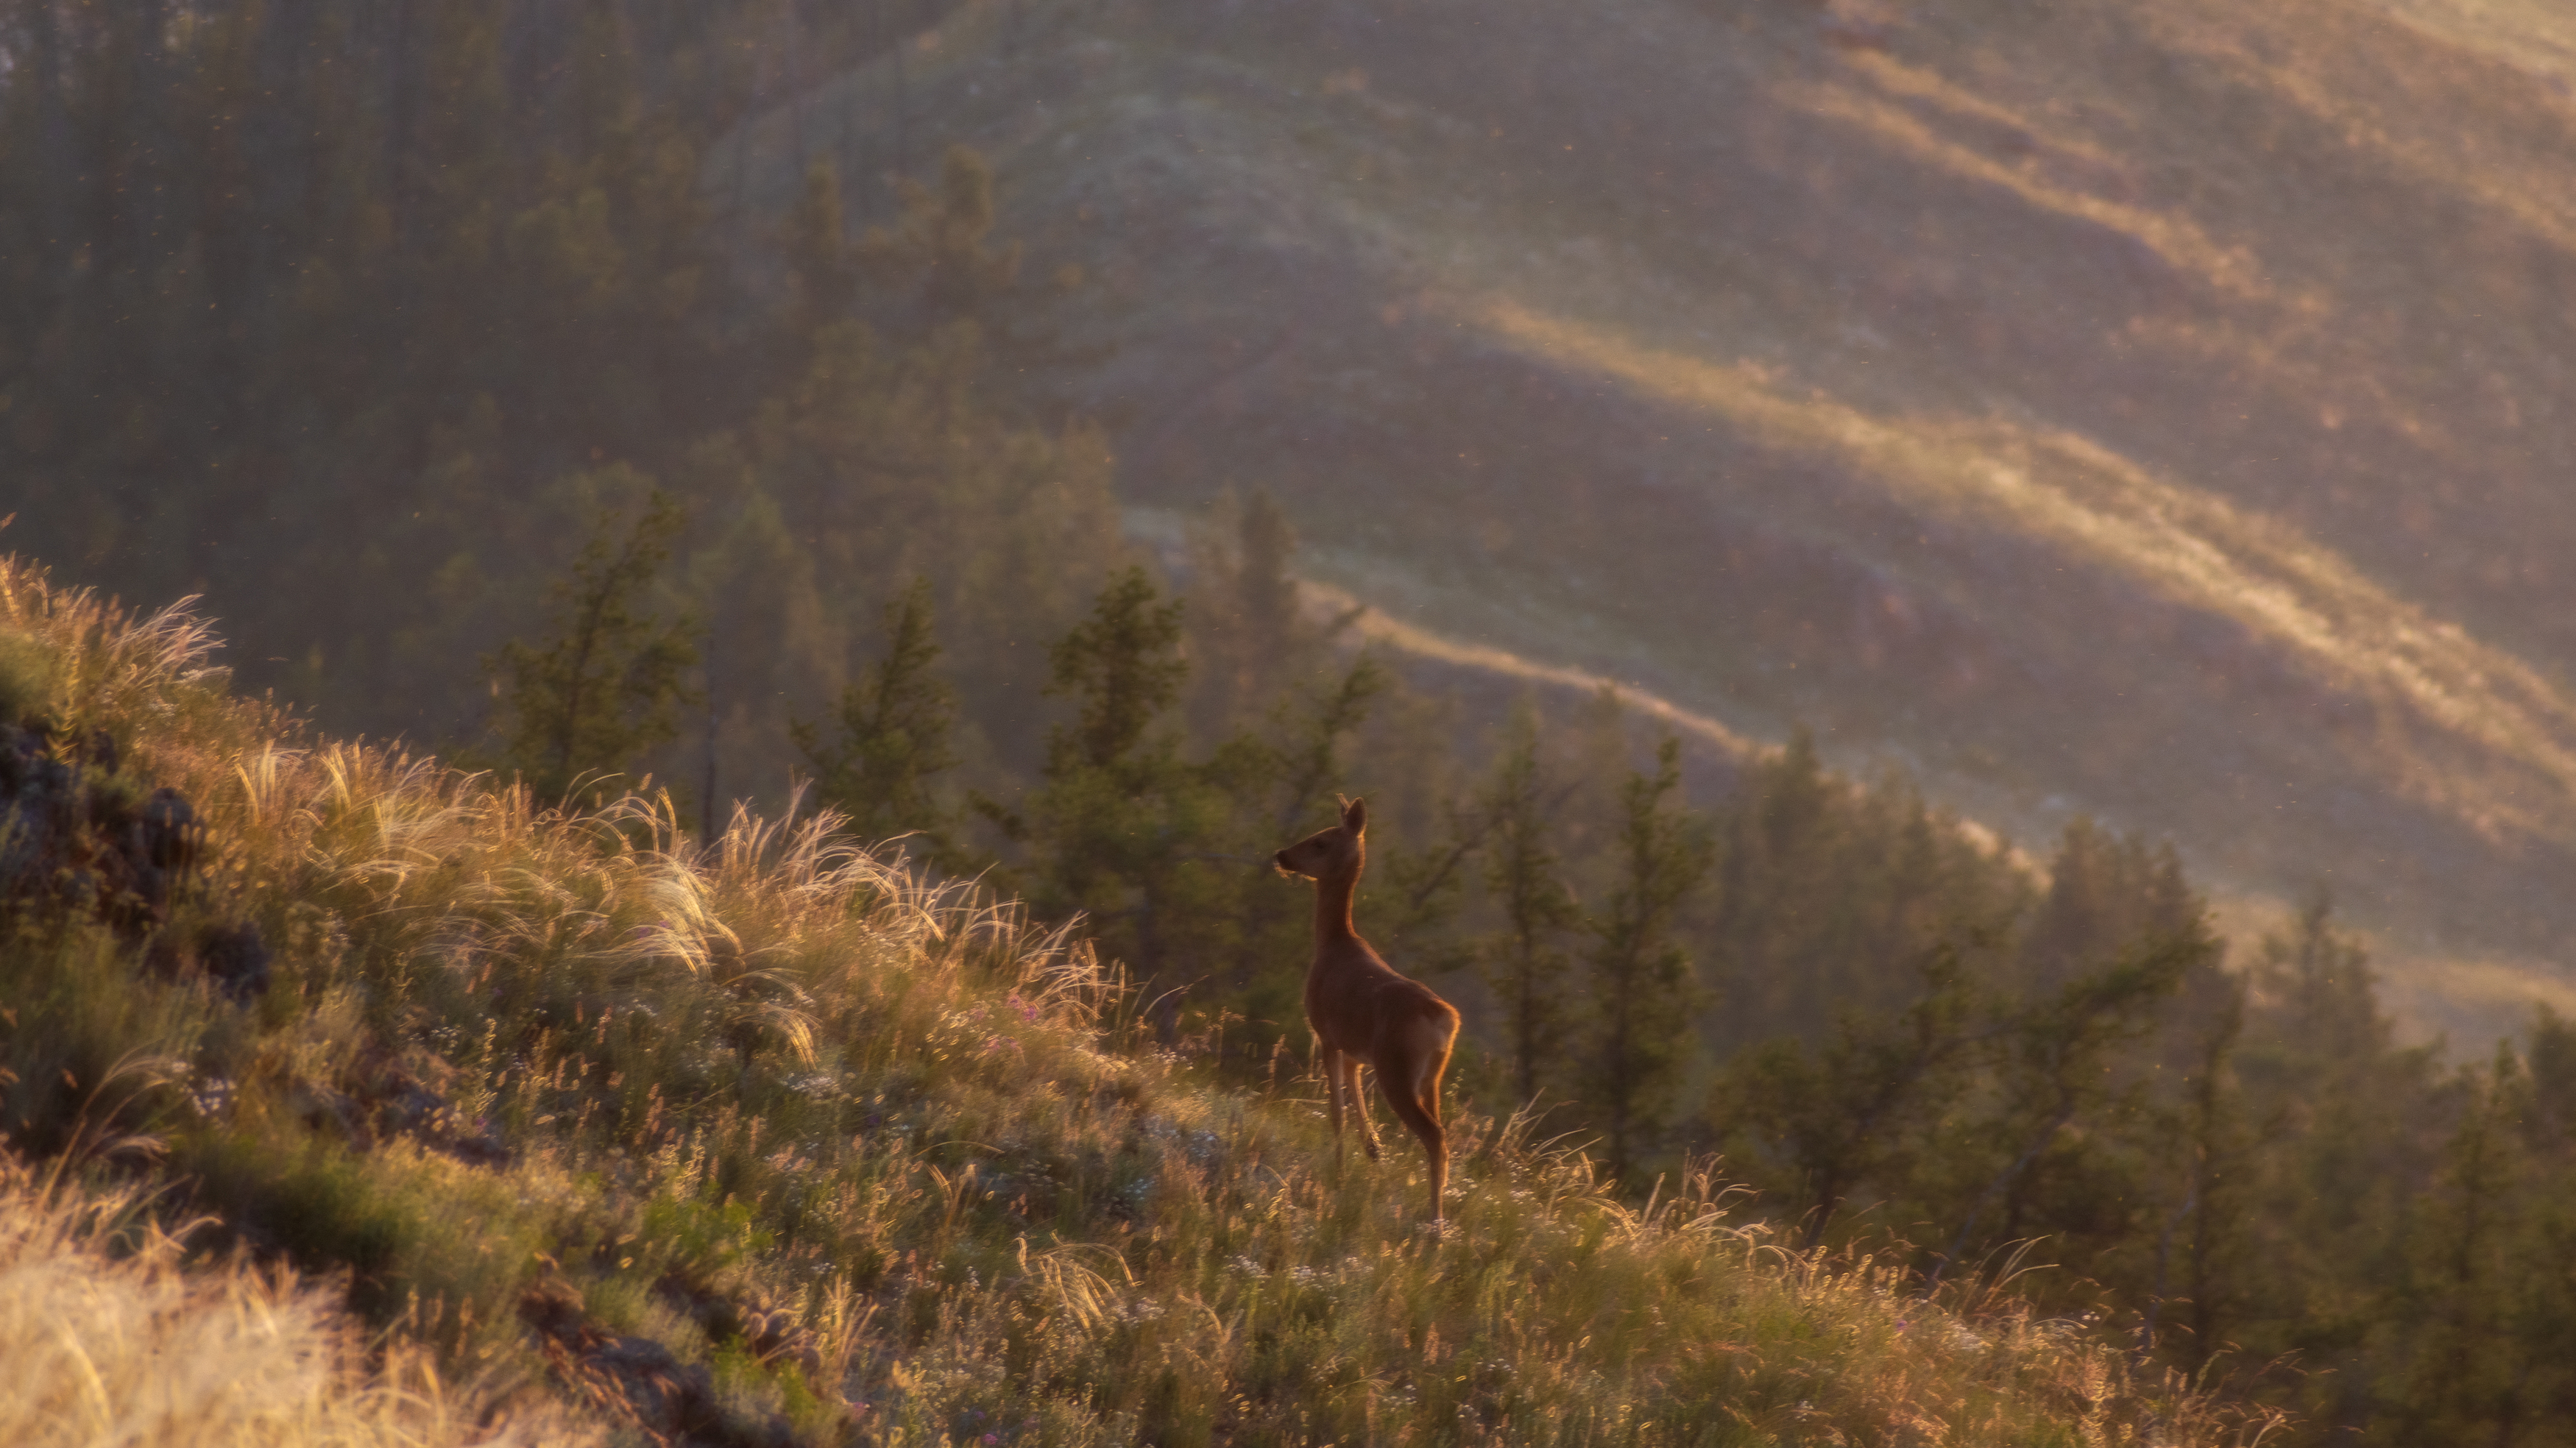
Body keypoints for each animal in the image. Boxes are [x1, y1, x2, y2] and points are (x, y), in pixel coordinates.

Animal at [1273, 788, 1463, 1215]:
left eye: (1320, 841)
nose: (1281, 855)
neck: (1332, 943)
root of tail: (1443, 1019)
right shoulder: (1356, 1051)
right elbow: (1356, 1100)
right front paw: (1373, 1150)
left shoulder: (1326, 1034)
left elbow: (1336, 1112)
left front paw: (1340, 1174)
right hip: (1432, 1074)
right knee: (1442, 1131)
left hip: (1396, 1067)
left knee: (1434, 1136)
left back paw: (1434, 1222)